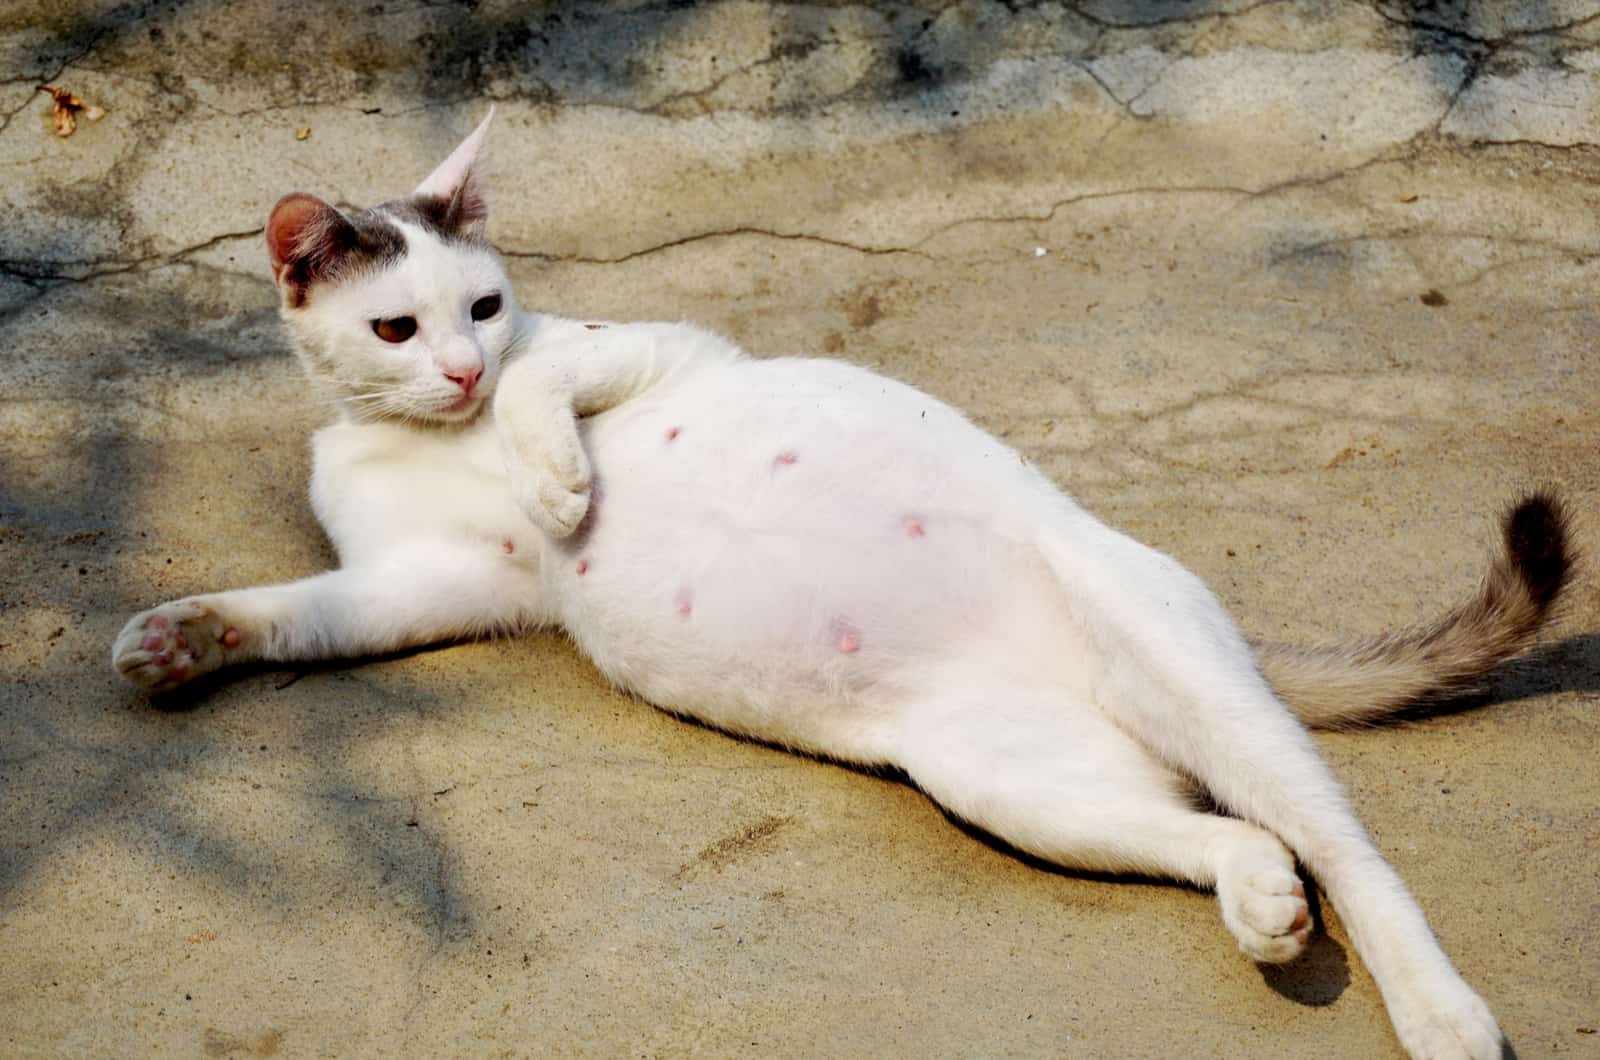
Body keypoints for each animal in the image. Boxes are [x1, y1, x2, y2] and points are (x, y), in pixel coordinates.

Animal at [112, 112, 1574, 1056]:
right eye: (396, 328)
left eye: (482, 307)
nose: (463, 369)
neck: (435, 437)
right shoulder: (421, 583)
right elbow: (292, 614)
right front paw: (177, 640)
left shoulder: (661, 350)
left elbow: (553, 383)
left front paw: (563, 480)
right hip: (1004, 777)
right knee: (1226, 835)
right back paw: (1261, 905)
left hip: (1180, 679)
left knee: (1344, 844)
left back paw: (1439, 1011)